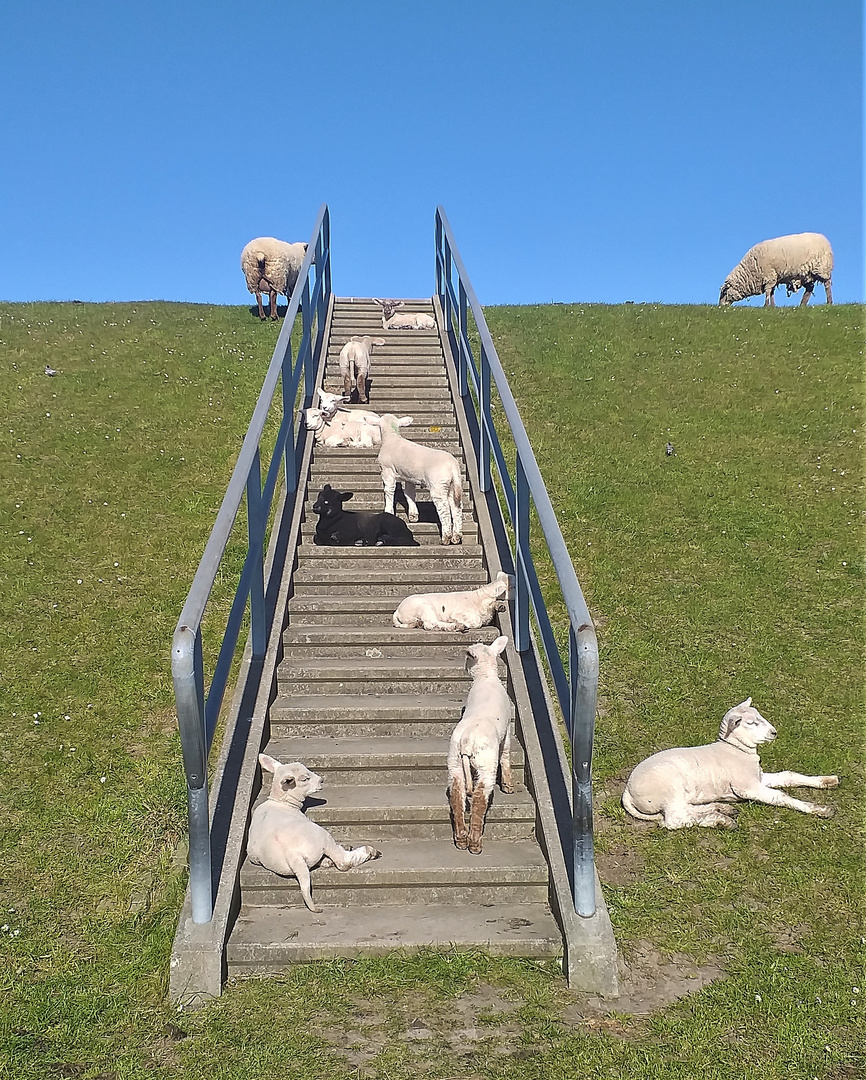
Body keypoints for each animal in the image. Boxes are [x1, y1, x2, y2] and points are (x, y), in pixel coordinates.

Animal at [242, 756, 377, 915]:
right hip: (321, 835)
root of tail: (293, 856)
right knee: (342, 862)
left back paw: (329, 860)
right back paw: (368, 851)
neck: (282, 802)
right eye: (305, 778)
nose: (322, 780)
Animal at [371, 414, 466, 548]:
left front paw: (388, 511)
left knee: (445, 509)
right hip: (454, 484)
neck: (392, 437)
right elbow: (409, 494)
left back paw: (446, 538)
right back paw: (456, 537)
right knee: (456, 507)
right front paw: (413, 515)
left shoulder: (387, 470)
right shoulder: (409, 477)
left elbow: (389, 491)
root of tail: (452, 466)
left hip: (438, 484)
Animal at [444, 630, 513, 851]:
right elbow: (506, 755)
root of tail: (467, 740)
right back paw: (474, 843)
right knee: (480, 798)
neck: (486, 677)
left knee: (457, 797)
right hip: (485, 763)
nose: (463, 666)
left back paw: (461, 839)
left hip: (454, 762)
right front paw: (508, 785)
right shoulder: (508, 729)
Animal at [621, 695, 837, 829]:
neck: (735, 750)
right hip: (669, 789)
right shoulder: (747, 787)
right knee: (676, 820)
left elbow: (788, 776)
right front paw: (820, 810)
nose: (774, 732)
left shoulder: (757, 777)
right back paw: (720, 821)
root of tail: (627, 793)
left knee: (686, 810)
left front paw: (828, 781)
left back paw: (722, 809)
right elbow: (780, 796)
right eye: (751, 723)